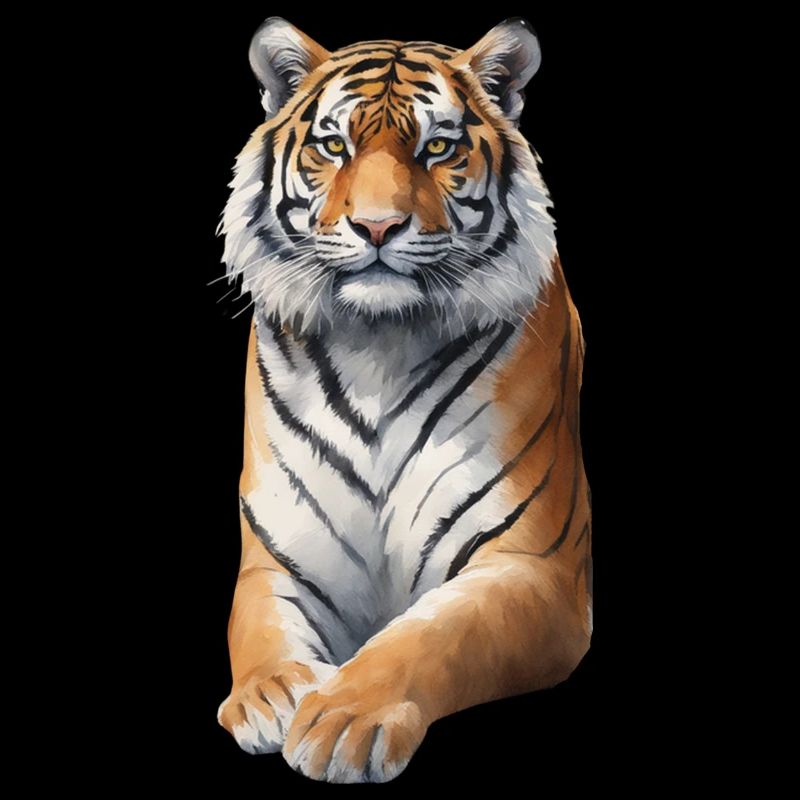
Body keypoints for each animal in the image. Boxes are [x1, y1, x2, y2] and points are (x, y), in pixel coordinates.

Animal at [217, 16, 592, 783]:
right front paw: (271, 695)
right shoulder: (279, 560)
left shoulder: (533, 569)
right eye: (334, 145)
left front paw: (341, 718)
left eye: (438, 147)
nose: (378, 227)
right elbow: (261, 629)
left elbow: (432, 636)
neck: (377, 349)